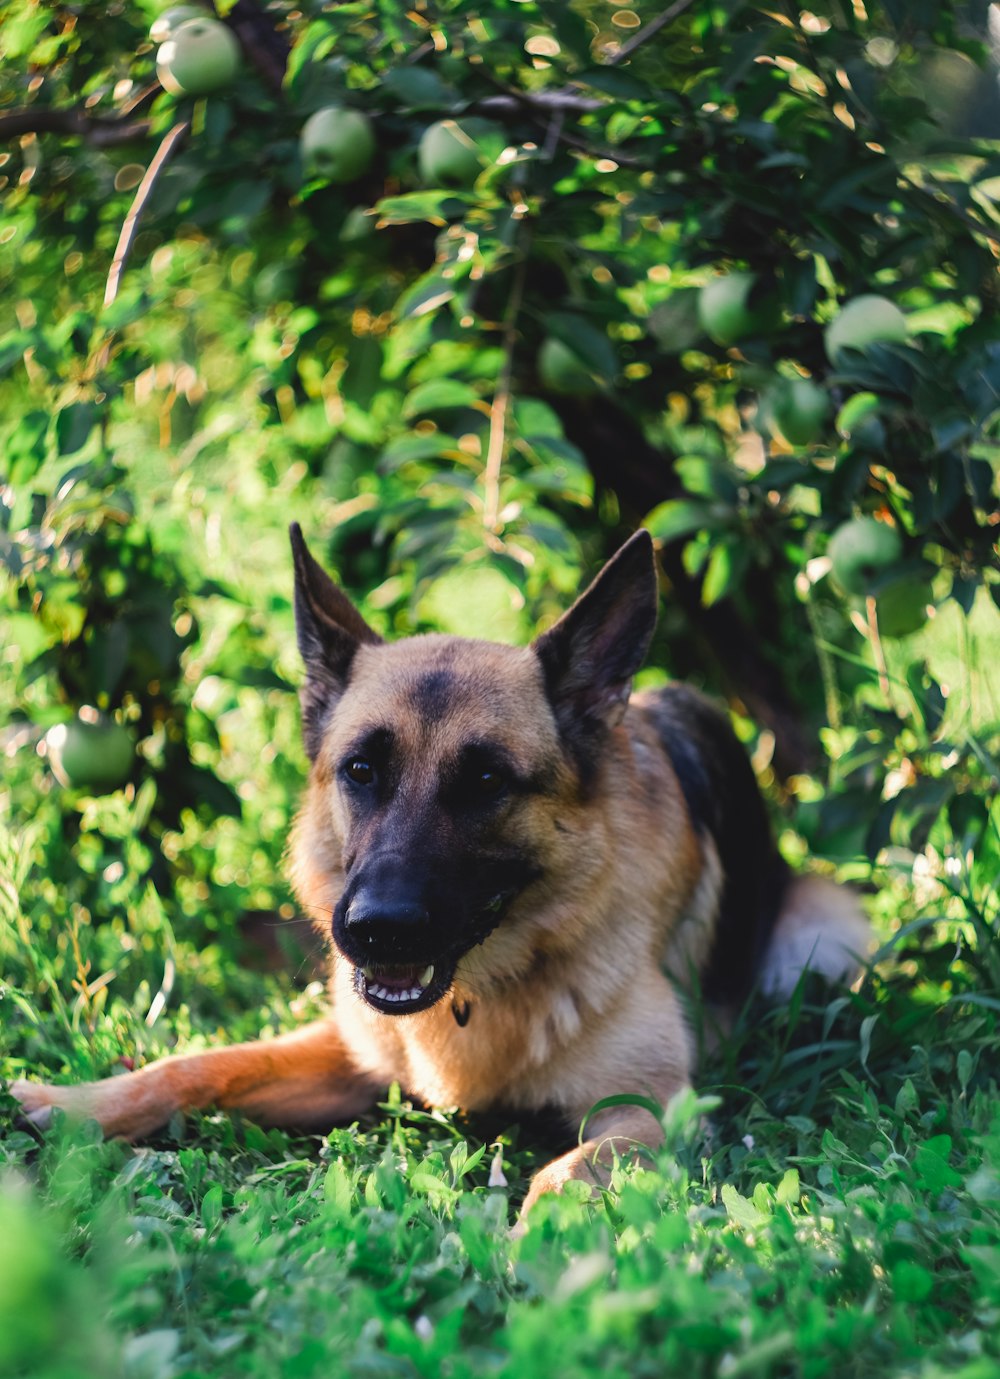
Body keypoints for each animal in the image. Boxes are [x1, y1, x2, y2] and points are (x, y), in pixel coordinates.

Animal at [11, 526, 871, 1219]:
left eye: (487, 781)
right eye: (361, 770)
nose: (377, 931)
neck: (479, 992)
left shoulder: (652, 1107)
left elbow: (571, 1168)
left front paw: (545, 1243)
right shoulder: (350, 1054)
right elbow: (201, 1064)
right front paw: (73, 1100)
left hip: (826, 933)